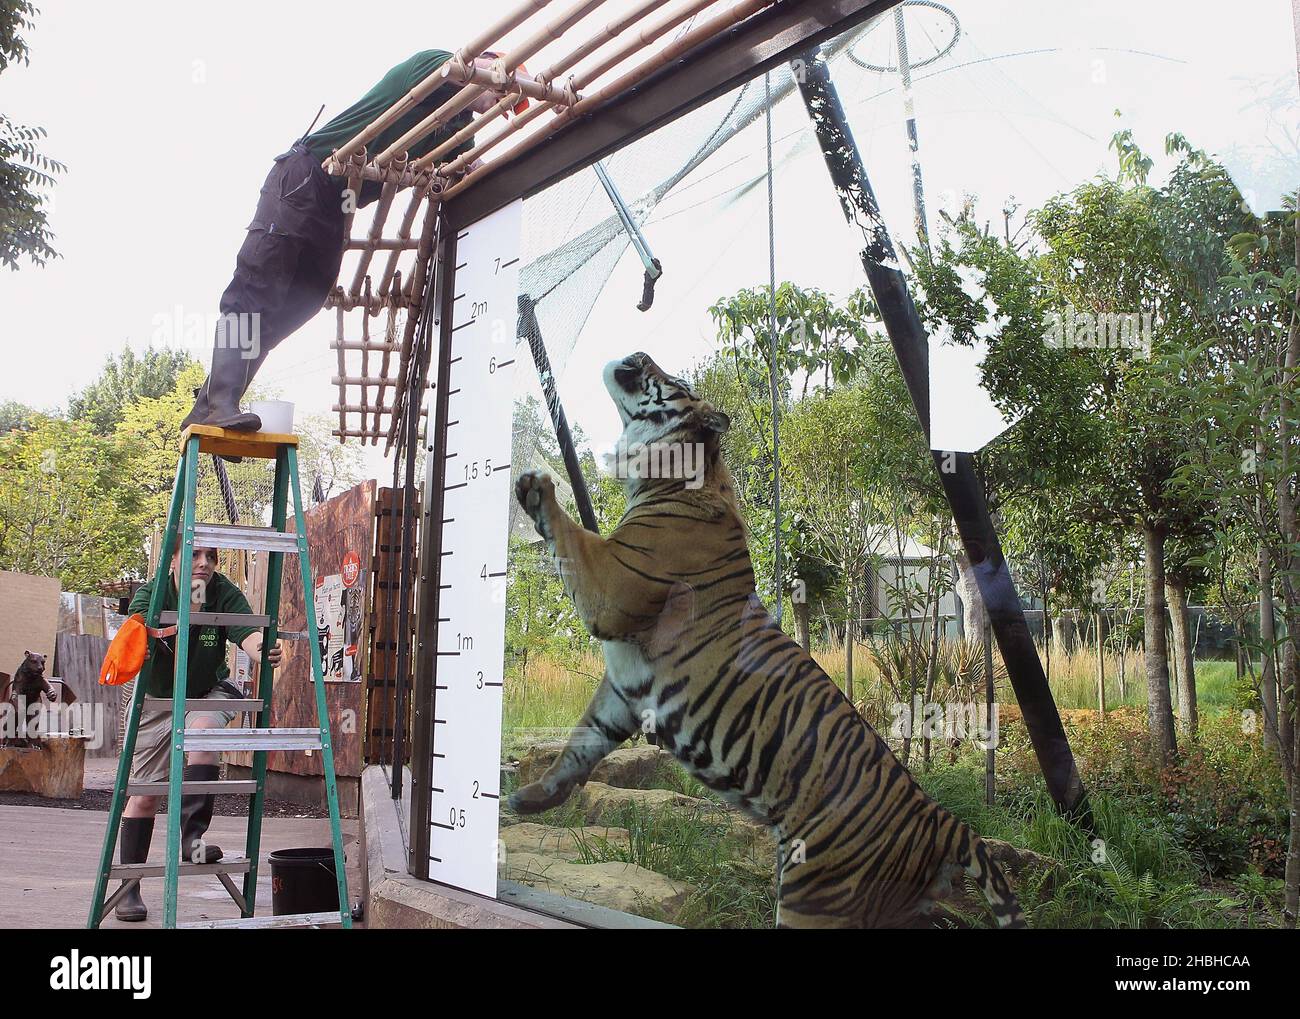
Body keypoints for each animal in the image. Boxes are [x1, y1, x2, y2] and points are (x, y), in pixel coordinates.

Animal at [506, 353, 1024, 930]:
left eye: (672, 381)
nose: (637, 355)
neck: (678, 473)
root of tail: (943, 822)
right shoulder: (622, 693)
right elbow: (580, 744)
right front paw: (533, 797)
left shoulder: (611, 587)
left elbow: (572, 537)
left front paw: (538, 485)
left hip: (811, 892)